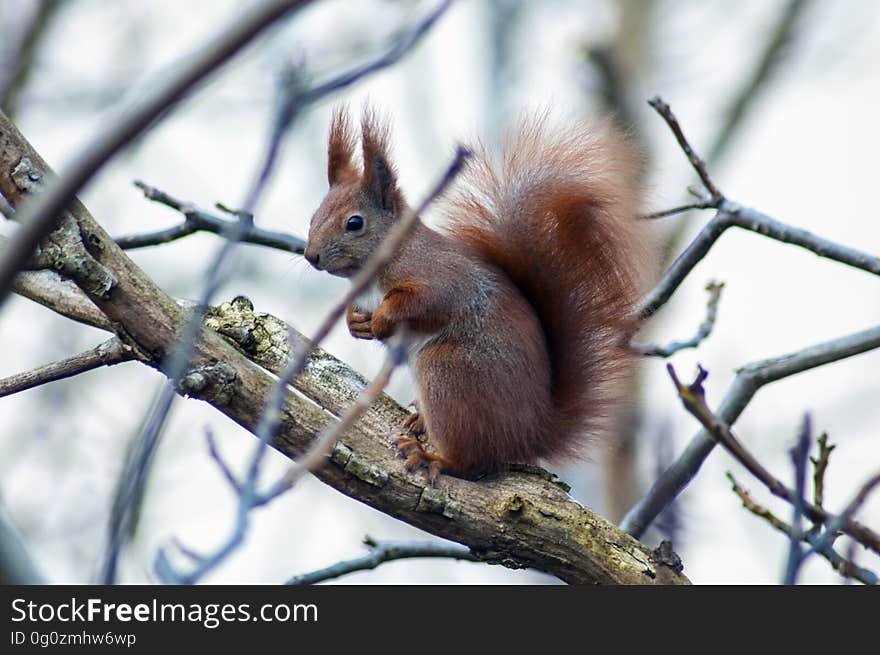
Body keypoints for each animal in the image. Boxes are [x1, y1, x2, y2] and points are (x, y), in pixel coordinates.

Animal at [304, 107, 652, 484]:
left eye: (354, 223)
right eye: (314, 216)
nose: (311, 256)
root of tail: (530, 434)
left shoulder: (441, 278)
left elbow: (424, 302)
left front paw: (382, 320)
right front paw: (356, 323)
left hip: (448, 371)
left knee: (473, 462)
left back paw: (433, 456)